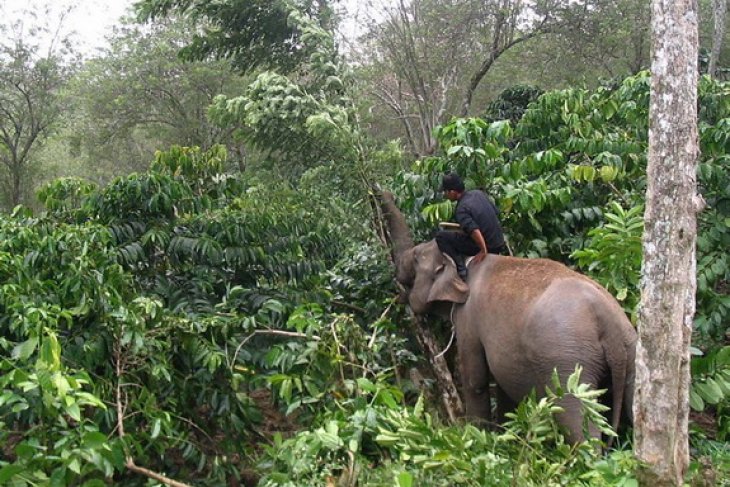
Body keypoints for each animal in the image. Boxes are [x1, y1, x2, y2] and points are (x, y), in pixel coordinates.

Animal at [378, 192, 636, 446]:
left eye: (416, 258)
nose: (381, 192)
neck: (467, 261)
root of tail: (609, 324)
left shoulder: (468, 318)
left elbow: (475, 380)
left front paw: (477, 438)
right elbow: (503, 384)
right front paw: (505, 438)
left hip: (568, 362)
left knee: (578, 423)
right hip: (631, 351)